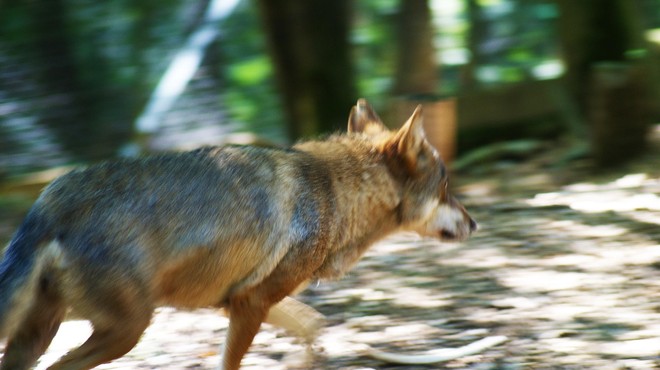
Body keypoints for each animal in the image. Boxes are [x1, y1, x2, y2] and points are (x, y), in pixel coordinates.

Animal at [0, 99, 474, 368]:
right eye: (447, 187)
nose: (474, 223)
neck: (336, 193)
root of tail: (51, 201)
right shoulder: (251, 304)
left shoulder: (240, 301)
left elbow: (313, 324)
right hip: (126, 331)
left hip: (43, 333)